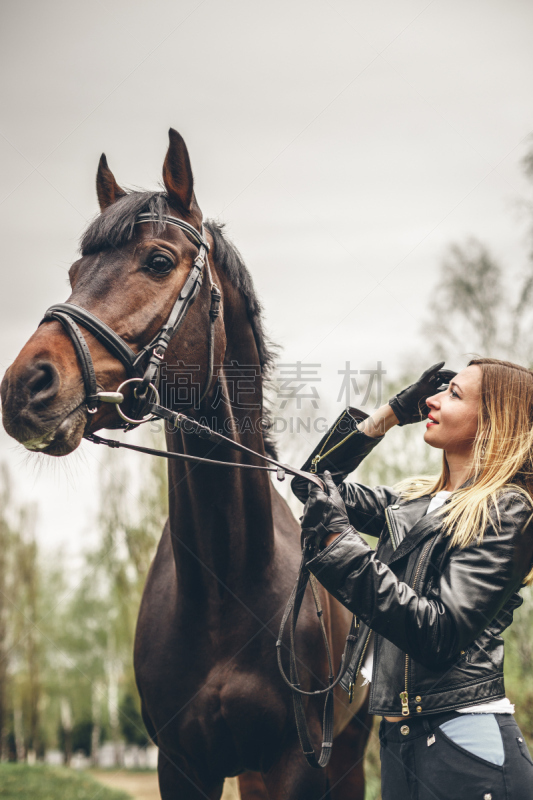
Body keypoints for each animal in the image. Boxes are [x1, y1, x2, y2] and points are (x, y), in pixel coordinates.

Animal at [1, 128, 370, 796]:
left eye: (157, 262)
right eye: (74, 272)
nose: (25, 384)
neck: (228, 583)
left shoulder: (296, 761)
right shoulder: (181, 763)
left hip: (349, 749)